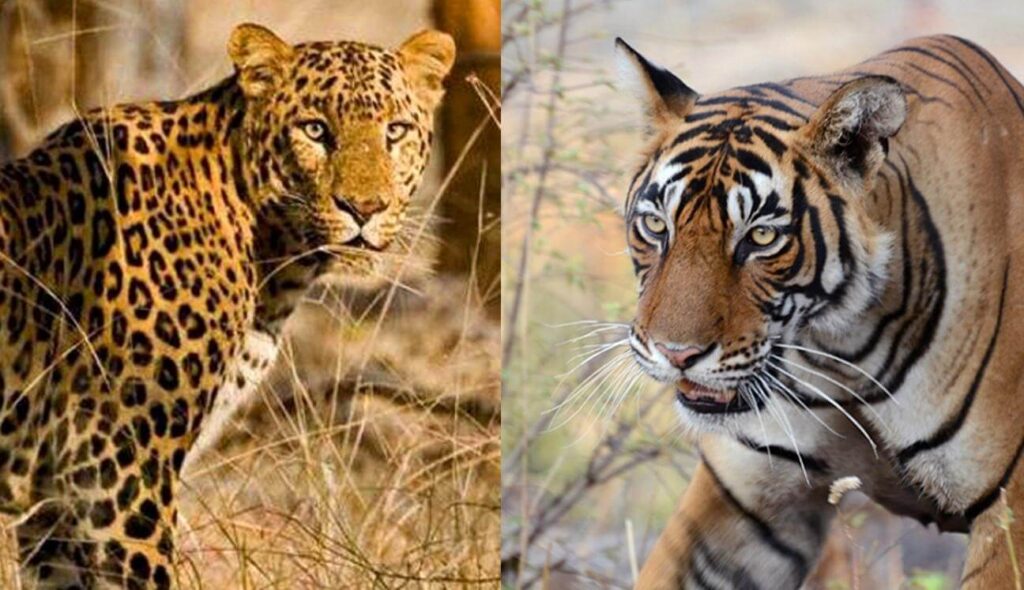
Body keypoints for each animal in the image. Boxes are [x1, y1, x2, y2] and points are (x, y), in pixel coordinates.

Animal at [0, 22, 454, 589]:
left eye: (395, 131)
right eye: (314, 130)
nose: (365, 208)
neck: (275, 262)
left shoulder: (53, 508)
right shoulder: (118, 472)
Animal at [612, 34, 1024, 589]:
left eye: (762, 237)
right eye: (656, 225)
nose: (675, 354)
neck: (842, 349)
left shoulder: (1008, 513)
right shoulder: (745, 497)